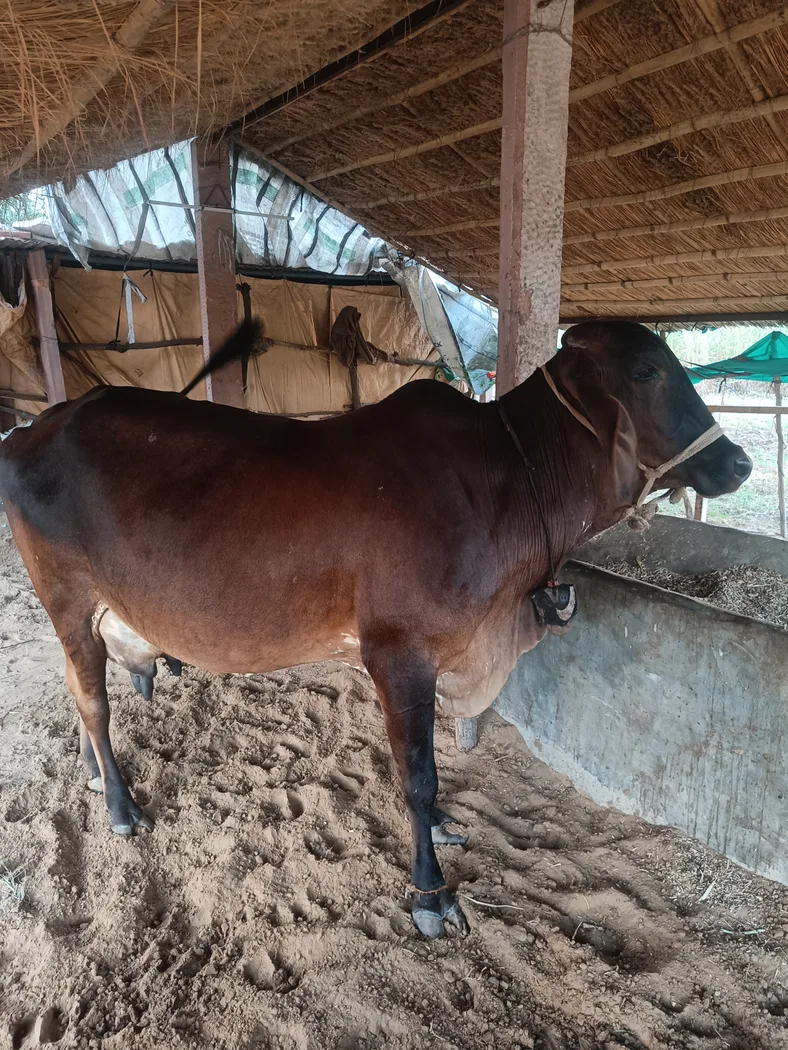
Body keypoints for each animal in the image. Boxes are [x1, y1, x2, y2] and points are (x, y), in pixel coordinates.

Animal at [0, 320, 751, 938]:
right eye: (647, 371)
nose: (739, 462)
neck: (508, 478)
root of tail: (33, 428)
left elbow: (433, 768)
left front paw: (442, 827)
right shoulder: (400, 653)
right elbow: (417, 773)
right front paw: (431, 893)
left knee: (80, 693)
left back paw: (94, 775)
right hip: (66, 598)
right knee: (93, 699)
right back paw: (120, 805)